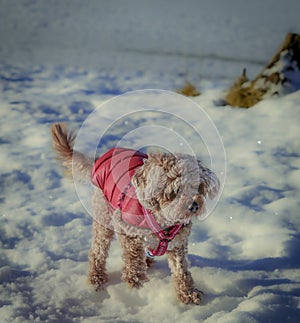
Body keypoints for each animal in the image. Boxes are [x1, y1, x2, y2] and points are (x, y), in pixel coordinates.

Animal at [51, 123, 220, 306]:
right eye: (174, 190)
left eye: (197, 186)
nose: (194, 205)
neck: (162, 219)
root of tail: (100, 159)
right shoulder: (125, 228)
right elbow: (132, 254)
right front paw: (135, 278)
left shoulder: (178, 243)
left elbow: (181, 270)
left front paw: (188, 293)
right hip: (103, 217)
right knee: (97, 251)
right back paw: (97, 277)